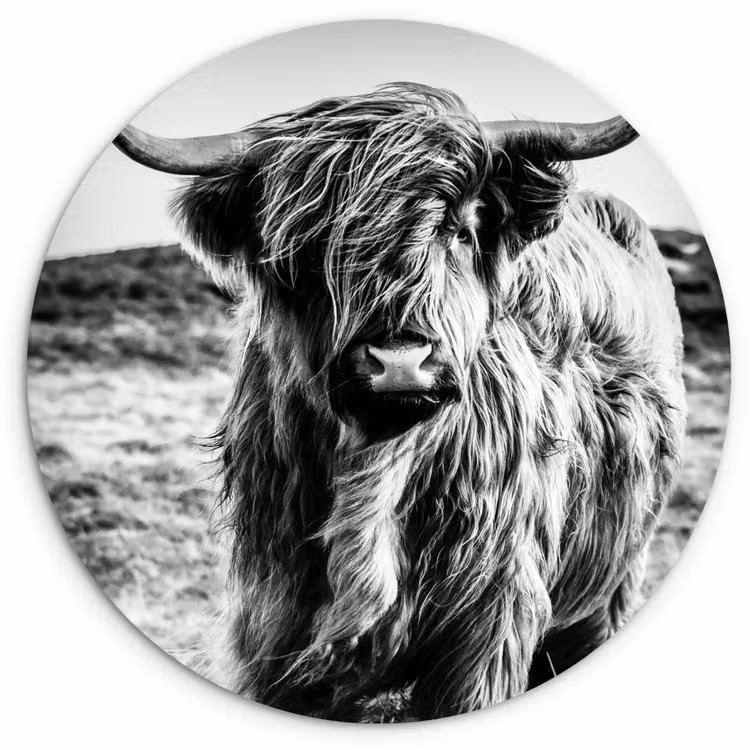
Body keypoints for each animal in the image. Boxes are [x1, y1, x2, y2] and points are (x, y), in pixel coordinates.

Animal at [114, 84, 686, 721]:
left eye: (460, 231)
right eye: (310, 248)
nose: (400, 360)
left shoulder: (489, 624)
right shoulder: (273, 623)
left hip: (614, 583)